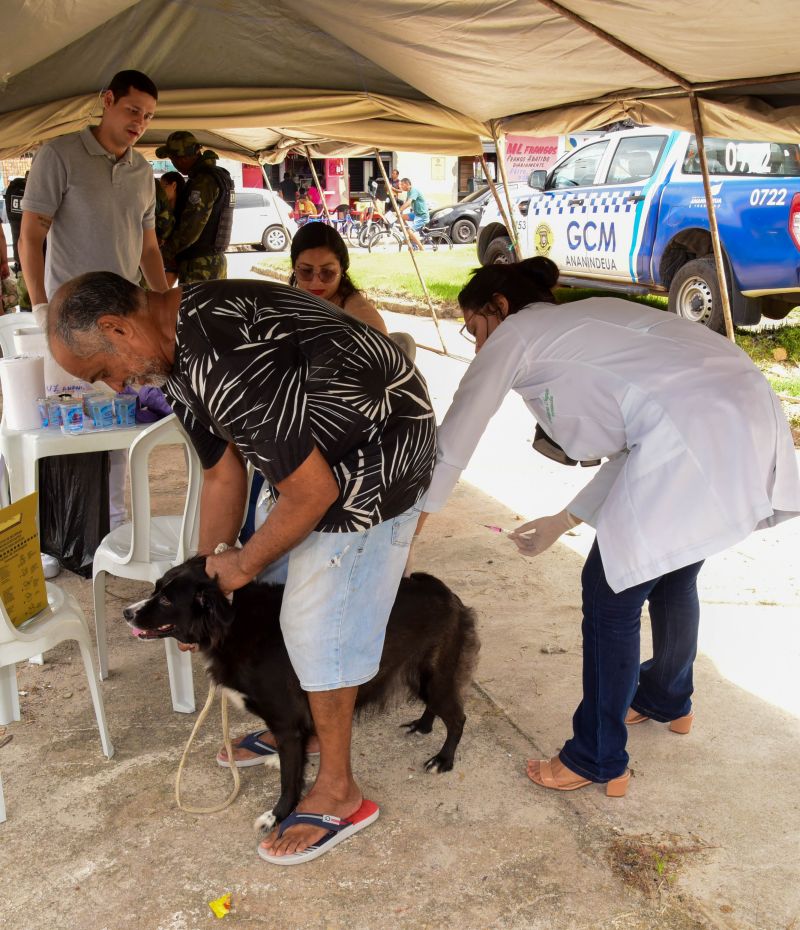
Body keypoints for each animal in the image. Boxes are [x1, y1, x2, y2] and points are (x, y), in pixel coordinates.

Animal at [122, 552, 478, 828]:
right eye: (155, 588)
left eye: (166, 599)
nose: (126, 612)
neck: (232, 624)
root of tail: (445, 591)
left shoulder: (287, 724)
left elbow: (289, 779)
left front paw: (277, 816)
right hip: (421, 677)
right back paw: (423, 725)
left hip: (433, 677)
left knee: (458, 718)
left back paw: (443, 759)